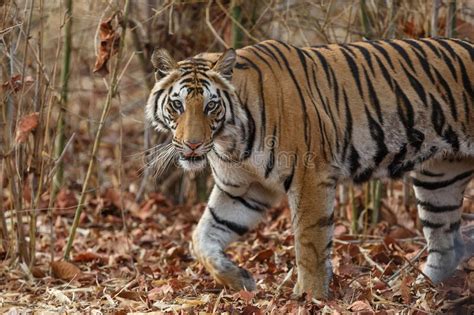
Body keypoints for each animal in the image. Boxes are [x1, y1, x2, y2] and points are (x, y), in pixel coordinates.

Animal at [145, 38, 474, 300]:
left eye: (211, 106)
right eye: (177, 105)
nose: (193, 145)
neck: (230, 141)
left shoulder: (310, 176)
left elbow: (309, 244)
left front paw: (309, 297)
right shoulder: (242, 189)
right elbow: (202, 237)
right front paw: (240, 279)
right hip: (438, 178)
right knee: (446, 246)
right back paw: (419, 290)